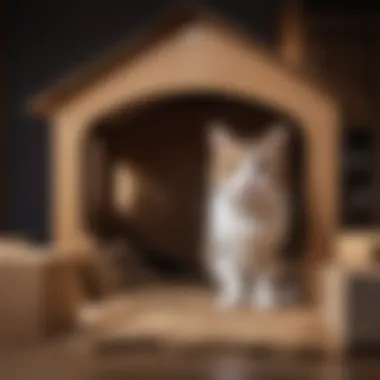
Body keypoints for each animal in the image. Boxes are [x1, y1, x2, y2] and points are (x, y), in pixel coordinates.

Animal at [205, 120, 290, 310]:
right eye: (234, 167)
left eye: (262, 167)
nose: (249, 181)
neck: (248, 218)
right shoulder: (222, 251)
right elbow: (232, 277)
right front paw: (233, 298)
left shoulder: (270, 252)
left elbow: (265, 277)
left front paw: (265, 300)